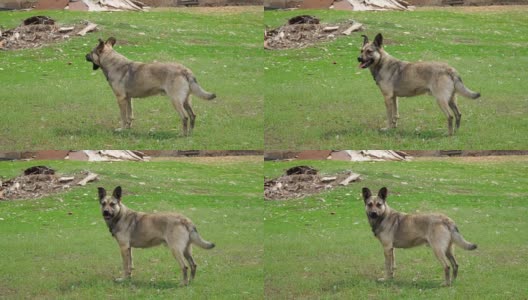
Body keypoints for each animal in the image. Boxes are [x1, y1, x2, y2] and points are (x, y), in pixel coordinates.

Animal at [86, 37, 217, 135]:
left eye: (91, 52)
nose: (85, 55)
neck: (112, 62)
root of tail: (185, 70)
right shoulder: (128, 98)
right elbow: (130, 116)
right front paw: (128, 128)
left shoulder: (121, 99)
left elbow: (123, 117)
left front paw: (122, 129)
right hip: (186, 100)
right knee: (193, 116)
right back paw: (190, 133)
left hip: (176, 100)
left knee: (184, 117)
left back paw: (183, 134)